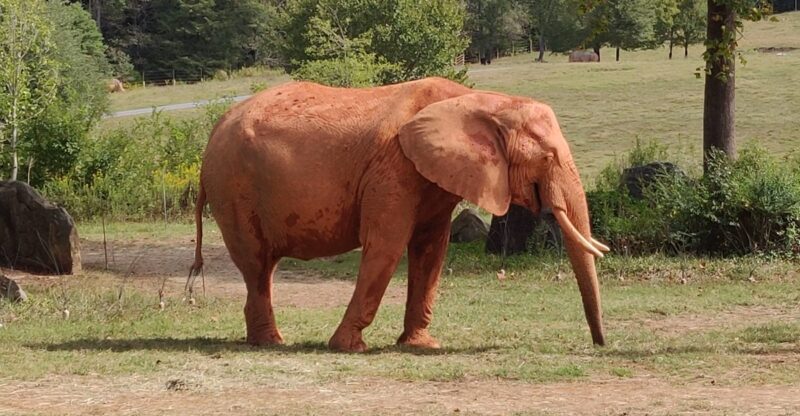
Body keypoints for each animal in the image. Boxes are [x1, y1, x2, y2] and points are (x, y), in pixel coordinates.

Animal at [189, 77, 609, 352]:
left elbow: (431, 250)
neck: (481, 101)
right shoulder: (394, 168)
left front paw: (422, 345)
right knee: (257, 264)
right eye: (548, 157)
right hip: (233, 186)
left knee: (261, 268)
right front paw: (348, 348)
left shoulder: (434, 178)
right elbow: (386, 246)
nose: (598, 345)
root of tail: (213, 132)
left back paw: (266, 341)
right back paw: (272, 343)